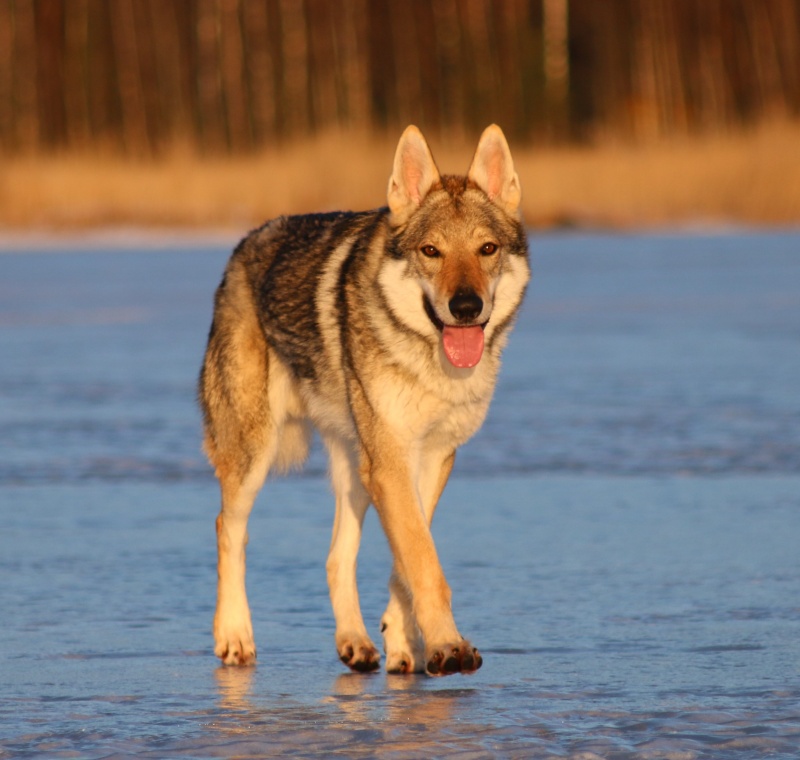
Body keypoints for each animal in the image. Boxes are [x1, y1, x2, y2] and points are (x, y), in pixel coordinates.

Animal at [197, 124, 528, 676]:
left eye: (487, 248)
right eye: (431, 251)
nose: (466, 306)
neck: (427, 360)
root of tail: (244, 243)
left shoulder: (430, 456)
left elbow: (408, 557)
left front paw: (406, 642)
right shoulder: (390, 462)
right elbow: (424, 561)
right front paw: (449, 645)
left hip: (354, 466)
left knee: (336, 557)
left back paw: (354, 643)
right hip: (255, 455)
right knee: (229, 528)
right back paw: (235, 637)